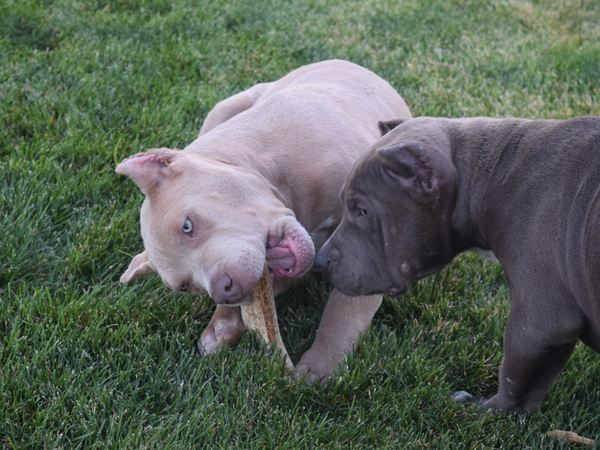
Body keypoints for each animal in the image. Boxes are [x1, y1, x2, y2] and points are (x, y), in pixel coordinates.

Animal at [314, 116, 600, 412]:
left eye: (363, 211)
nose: (319, 259)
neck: (492, 176)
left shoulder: (540, 324)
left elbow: (512, 380)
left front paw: (483, 409)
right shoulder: (554, 337)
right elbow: (533, 390)